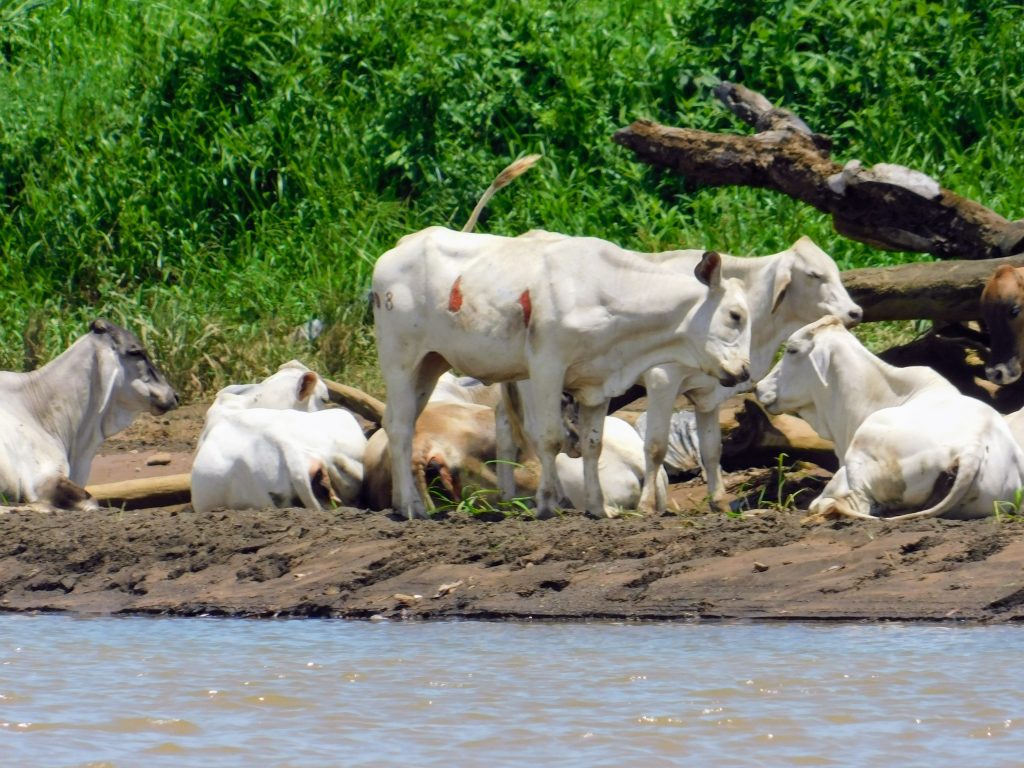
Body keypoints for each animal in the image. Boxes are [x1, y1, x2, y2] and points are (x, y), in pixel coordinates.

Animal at [372, 225, 749, 520]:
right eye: (735, 315)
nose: (744, 371)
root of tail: (404, 243)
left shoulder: (597, 382)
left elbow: (593, 443)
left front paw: (598, 507)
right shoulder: (546, 367)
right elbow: (550, 438)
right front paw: (548, 504)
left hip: (431, 362)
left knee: (404, 423)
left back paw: (404, 503)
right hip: (400, 360)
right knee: (399, 426)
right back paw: (411, 508)